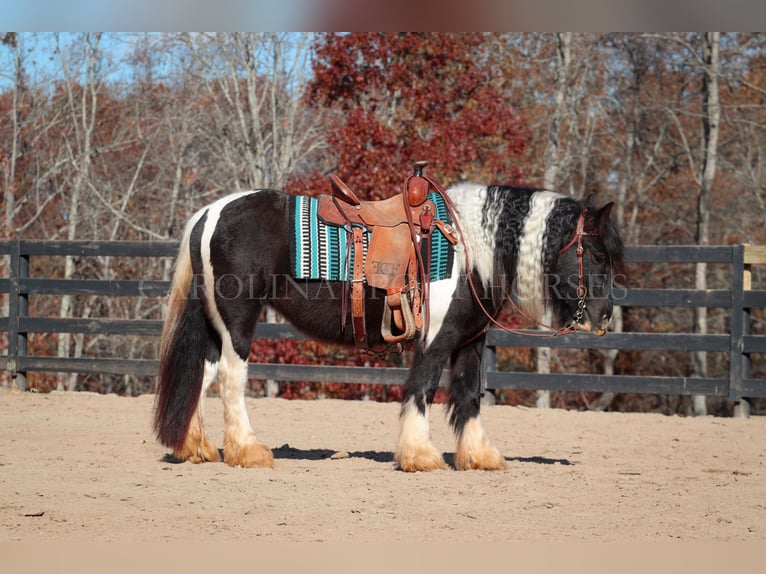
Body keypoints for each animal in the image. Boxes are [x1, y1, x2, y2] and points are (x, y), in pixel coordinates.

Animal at [154, 183, 624, 472]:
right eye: (598, 254)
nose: (603, 318)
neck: (467, 248)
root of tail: (211, 212)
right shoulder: (435, 341)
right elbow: (422, 389)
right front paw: (420, 455)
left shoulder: (471, 340)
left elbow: (469, 395)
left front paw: (479, 456)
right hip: (237, 325)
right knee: (231, 379)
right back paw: (248, 450)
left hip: (216, 327)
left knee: (202, 374)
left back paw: (195, 447)